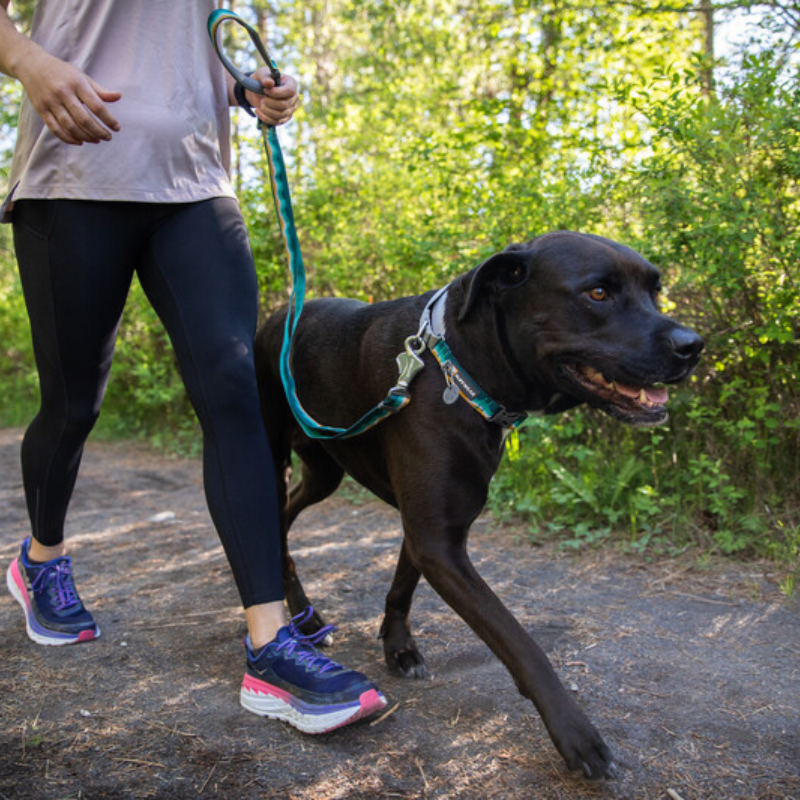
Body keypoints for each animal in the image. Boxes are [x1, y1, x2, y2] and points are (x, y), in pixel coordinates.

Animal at [255, 231, 700, 780]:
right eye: (598, 293)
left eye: (655, 290)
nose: (693, 346)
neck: (460, 368)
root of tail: (276, 316)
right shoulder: (439, 542)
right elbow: (520, 642)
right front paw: (576, 734)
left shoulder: (433, 531)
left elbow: (402, 587)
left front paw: (398, 648)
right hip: (269, 456)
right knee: (273, 524)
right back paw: (303, 619)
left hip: (324, 471)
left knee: (290, 513)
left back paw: (307, 614)